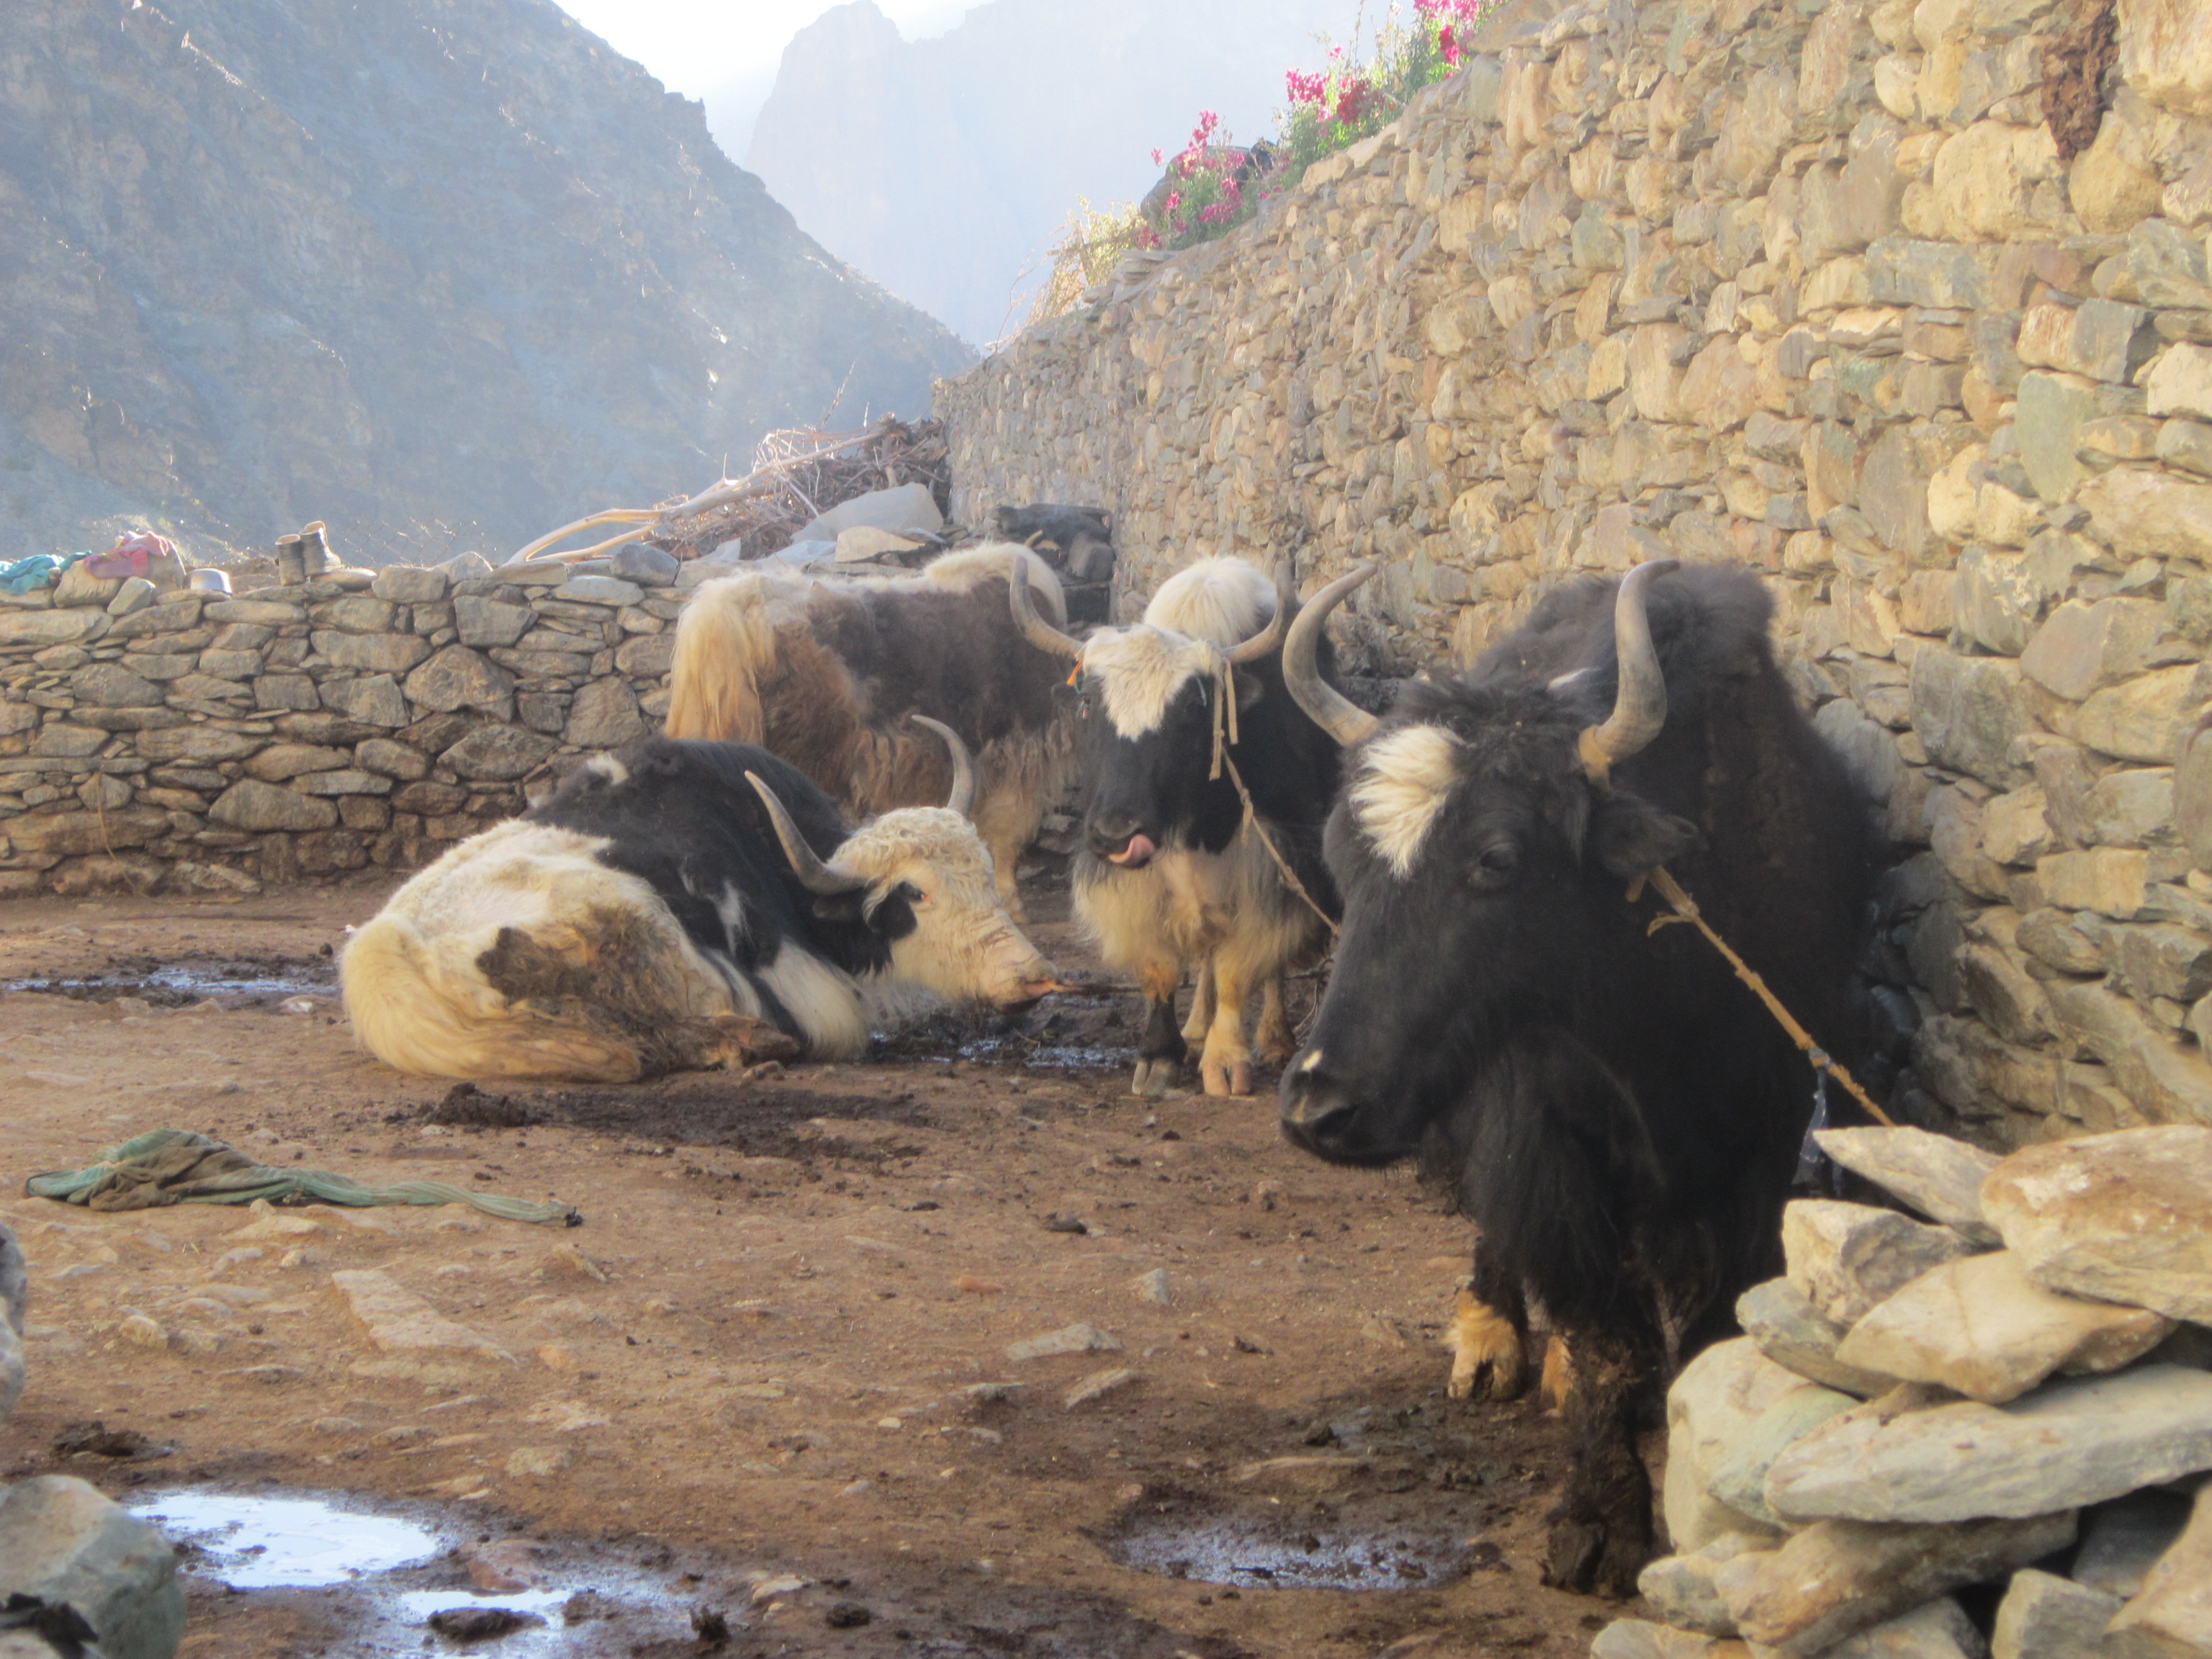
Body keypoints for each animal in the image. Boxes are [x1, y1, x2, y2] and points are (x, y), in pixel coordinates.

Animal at [342, 718, 1059, 1083]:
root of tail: (382, 965)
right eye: (917, 893)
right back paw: (753, 1042)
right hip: (616, 920)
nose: (1035, 977)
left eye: (986, 874)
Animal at [1008, 557, 1345, 1098]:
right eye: (1090, 707)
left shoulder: (1273, 863)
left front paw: (1226, 1062)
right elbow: (1161, 969)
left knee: (1264, 965)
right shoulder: (1136, 885)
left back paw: (1274, 1039)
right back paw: (1195, 1028)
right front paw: (1160, 1057)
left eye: (1189, 710)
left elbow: (1237, 968)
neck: (1195, 829)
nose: (1116, 834)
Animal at [1277, 559, 1879, 1596]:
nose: (1321, 1106)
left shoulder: (1760, 1152)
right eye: (1344, 858)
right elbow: (1606, 1334)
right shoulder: (1546, 1141)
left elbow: (1710, 1328)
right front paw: (1598, 1526)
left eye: (1497, 859)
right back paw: (1492, 1346)